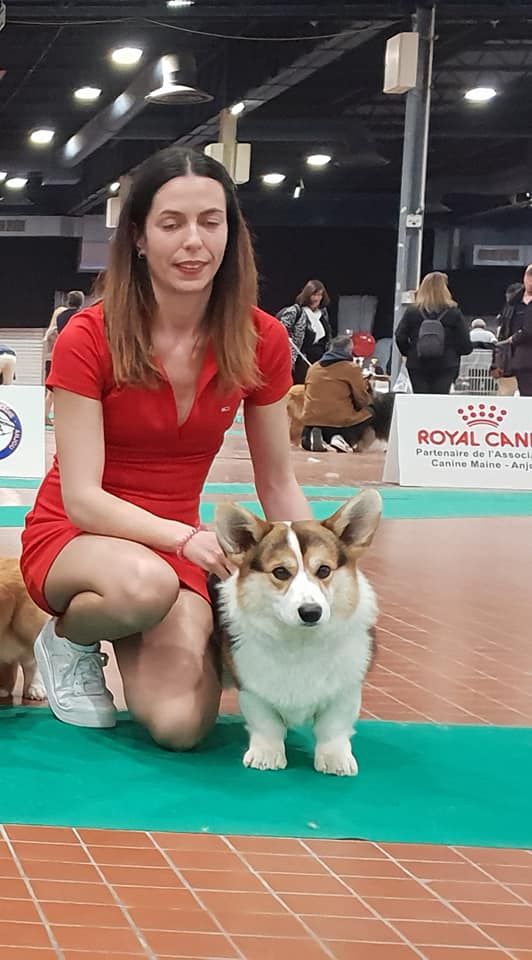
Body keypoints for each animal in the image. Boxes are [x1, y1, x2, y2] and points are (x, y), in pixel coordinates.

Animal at [213, 490, 382, 776]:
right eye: (281, 572)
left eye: (324, 570)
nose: (311, 612)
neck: (300, 641)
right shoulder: (252, 690)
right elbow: (266, 725)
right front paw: (266, 755)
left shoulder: (345, 691)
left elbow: (333, 728)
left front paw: (335, 759)